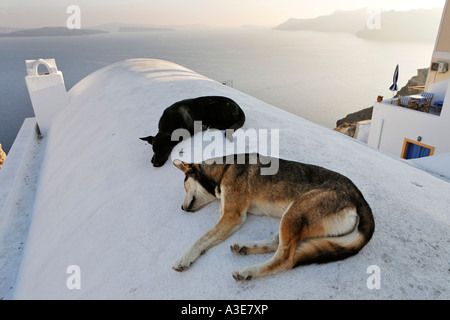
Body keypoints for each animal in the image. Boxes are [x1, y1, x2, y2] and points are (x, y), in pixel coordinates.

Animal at [171, 154, 374, 282]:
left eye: (185, 187)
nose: (180, 208)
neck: (225, 168)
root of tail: (359, 196)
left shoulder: (232, 216)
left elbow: (201, 239)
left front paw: (184, 258)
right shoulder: (227, 216)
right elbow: (207, 239)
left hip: (296, 211)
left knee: (285, 258)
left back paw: (247, 271)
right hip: (292, 214)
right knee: (276, 244)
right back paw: (244, 247)